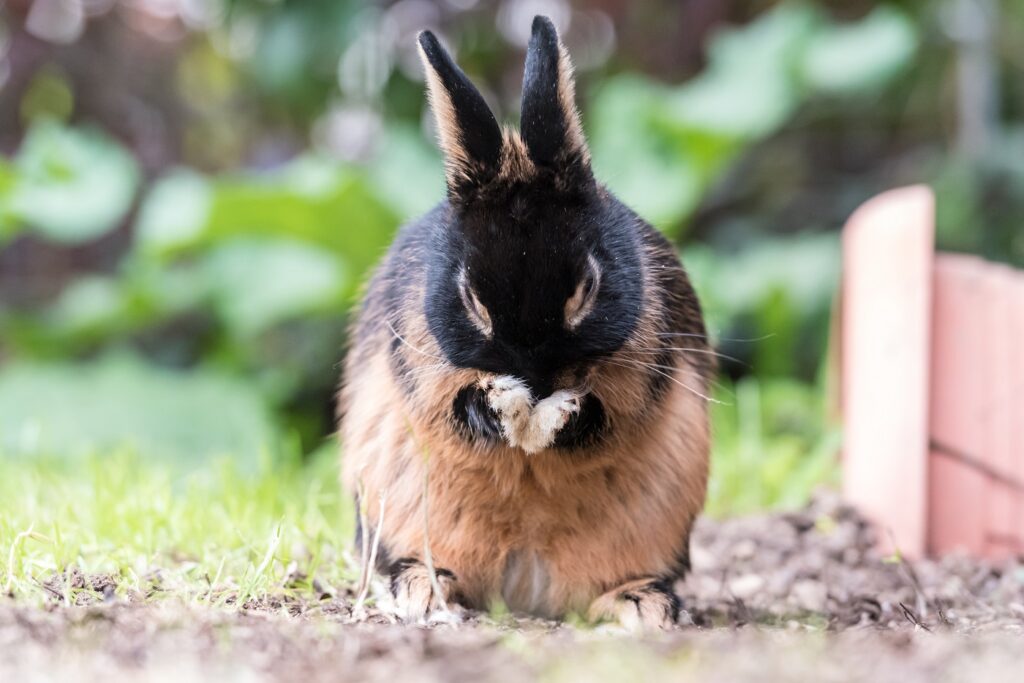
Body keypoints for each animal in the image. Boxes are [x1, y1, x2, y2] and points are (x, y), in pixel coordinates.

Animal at [337, 14, 712, 630]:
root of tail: (526, 586)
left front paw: (561, 416)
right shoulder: (423, 368)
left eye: (587, 287)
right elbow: (453, 404)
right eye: (471, 298)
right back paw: (422, 592)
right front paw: (505, 410)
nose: (536, 378)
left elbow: (613, 409)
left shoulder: (644, 368)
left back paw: (641, 604)